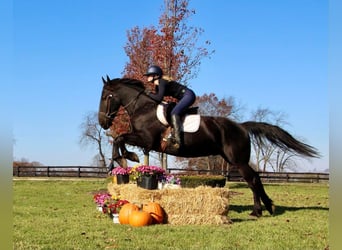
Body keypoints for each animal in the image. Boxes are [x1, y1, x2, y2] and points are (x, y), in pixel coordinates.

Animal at [97, 76, 320, 217]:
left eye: (106, 96)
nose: (103, 123)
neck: (142, 108)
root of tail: (241, 126)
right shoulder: (143, 140)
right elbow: (119, 138)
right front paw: (122, 160)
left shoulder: (146, 139)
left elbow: (119, 138)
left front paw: (126, 158)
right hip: (235, 159)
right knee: (256, 178)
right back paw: (268, 207)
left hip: (237, 160)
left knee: (252, 180)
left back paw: (258, 211)